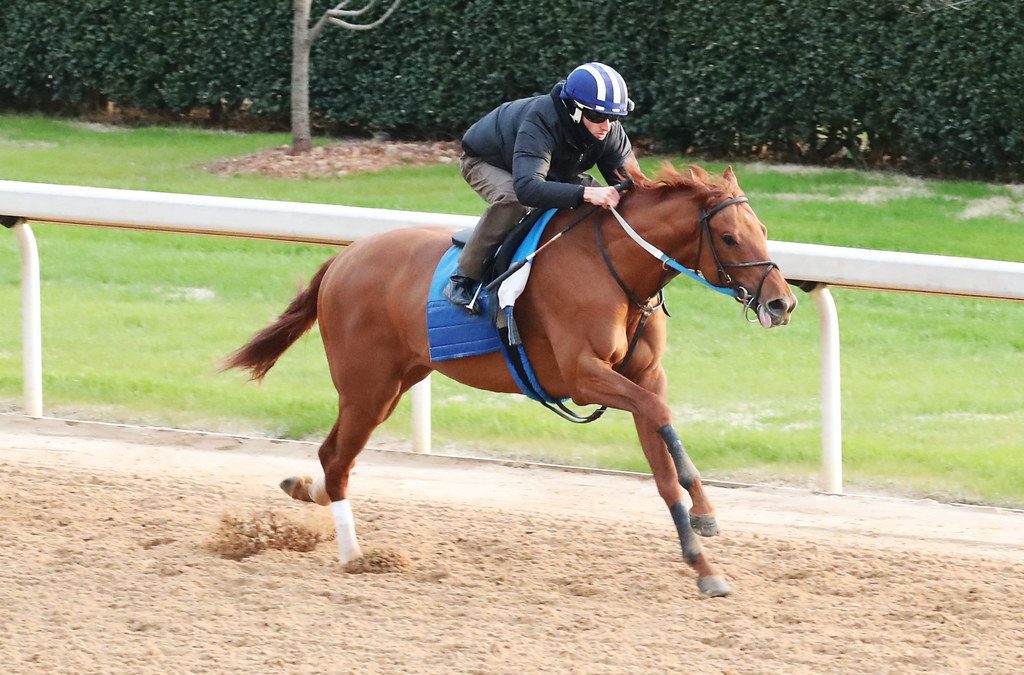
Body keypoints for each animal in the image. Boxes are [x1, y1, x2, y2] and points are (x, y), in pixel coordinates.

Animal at [226, 163, 798, 598]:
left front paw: (703, 563)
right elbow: (661, 418)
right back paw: (354, 555)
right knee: (338, 460)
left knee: (332, 456)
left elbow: (661, 466)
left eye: (765, 230)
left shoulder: (644, 377)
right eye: (729, 236)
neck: (615, 269)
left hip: (394, 383)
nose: (782, 302)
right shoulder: (583, 375)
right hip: (367, 387)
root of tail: (343, 258)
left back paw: (306, 490)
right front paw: (707, 515)